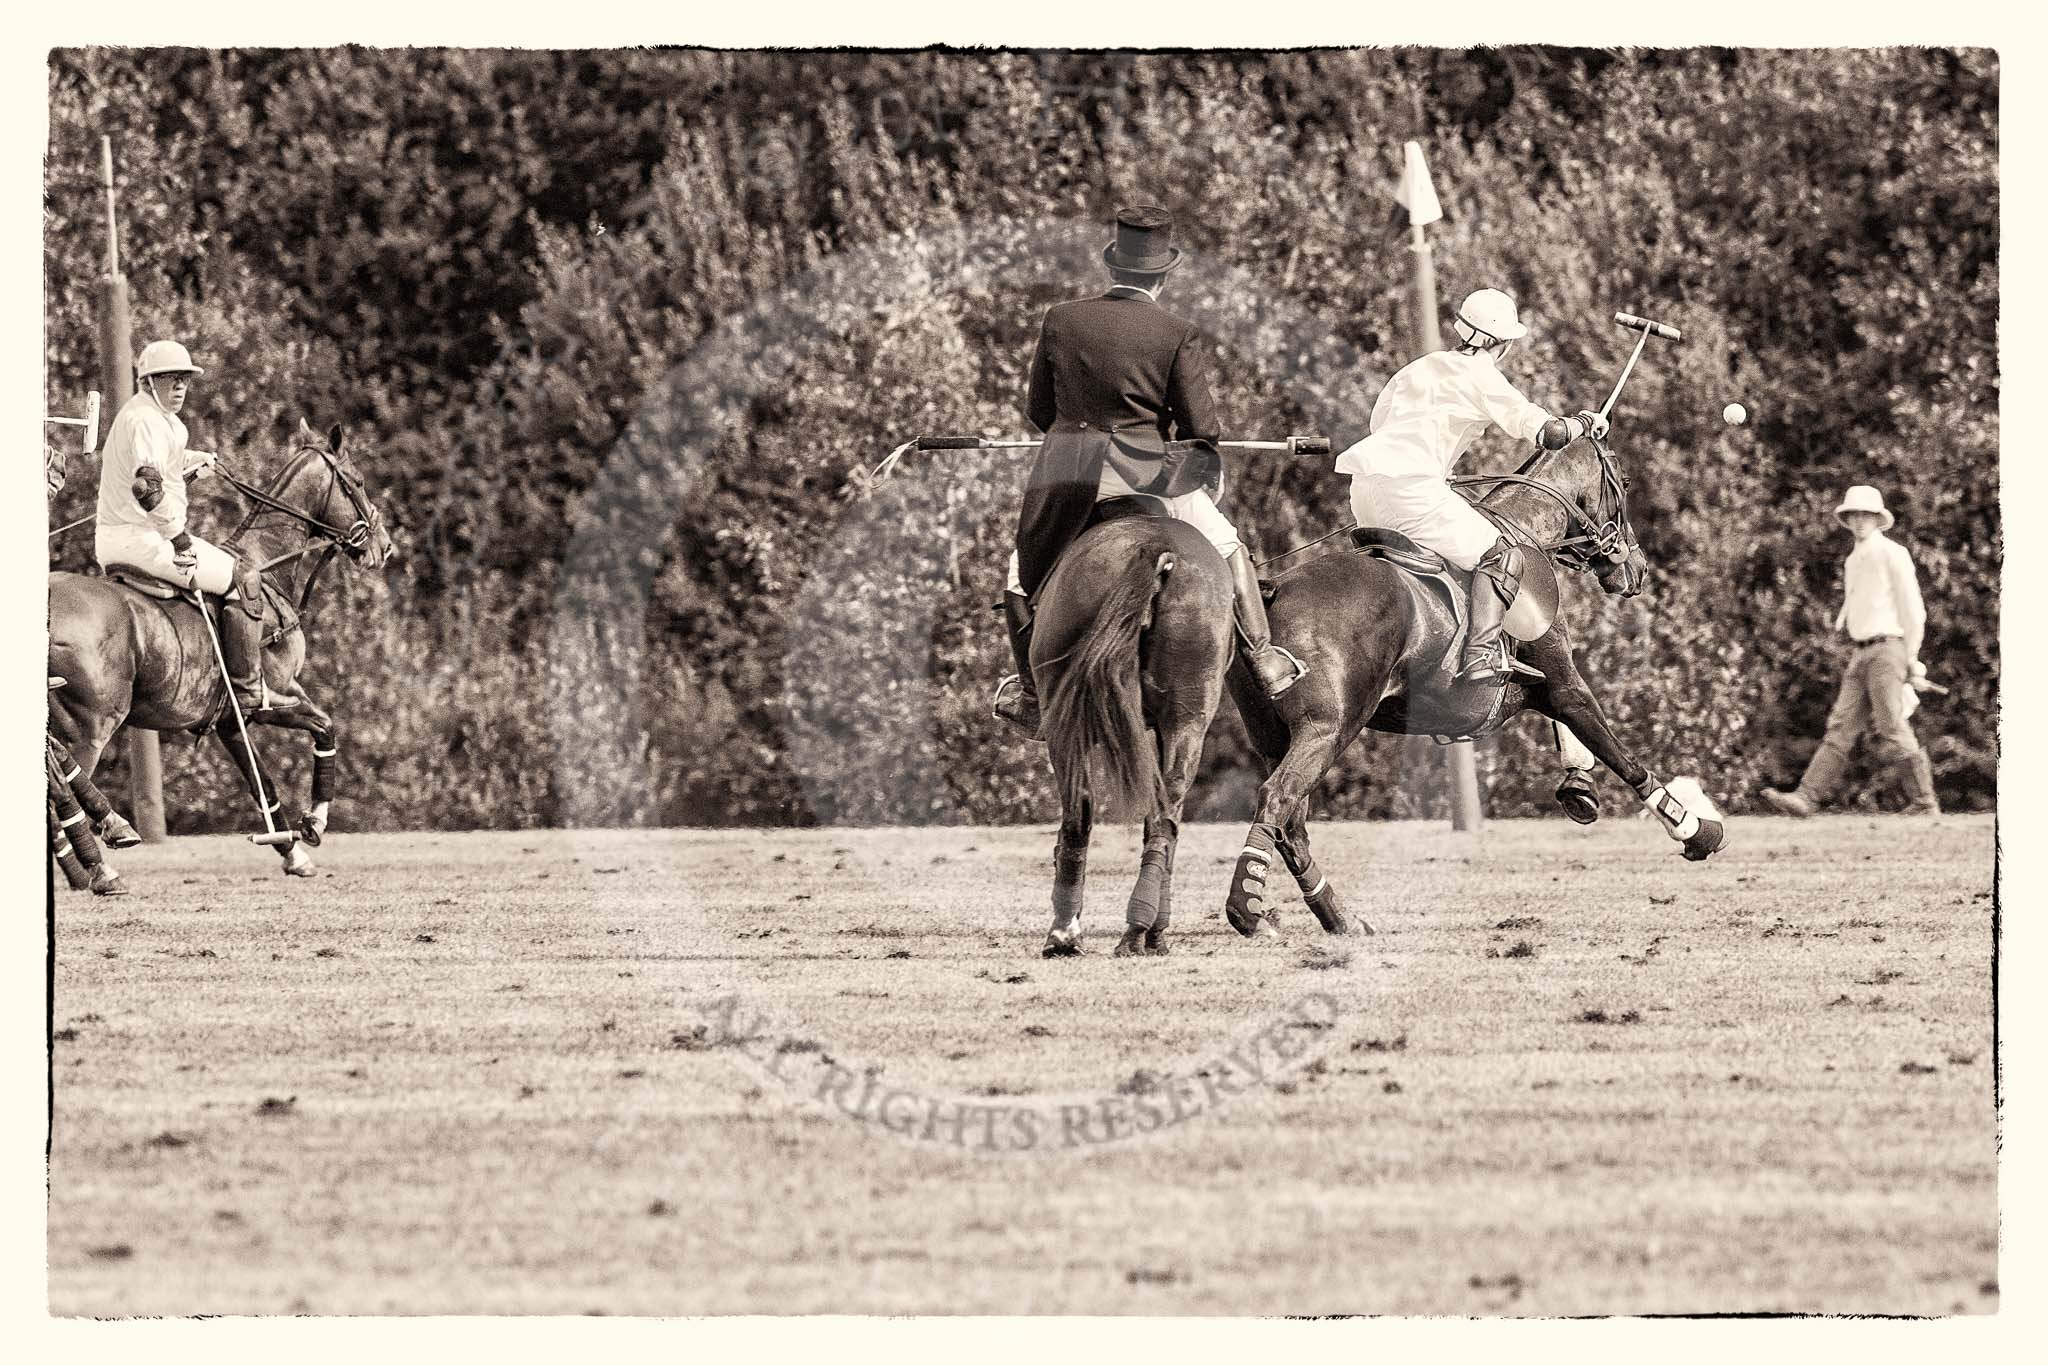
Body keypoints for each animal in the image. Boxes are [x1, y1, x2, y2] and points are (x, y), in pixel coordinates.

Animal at [48, 417, 395, 879]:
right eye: (357, 482)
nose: (384, 546)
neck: (267, 567)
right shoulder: (275, 696)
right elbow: (326, 726)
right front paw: (315, 821)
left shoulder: (231, 721)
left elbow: (264, 786)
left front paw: (293, 853)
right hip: (90, 726)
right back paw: (104, 861)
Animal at [1040, 501, 1228, 961]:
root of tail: (1157, 549)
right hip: (1186, 718)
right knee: (1166, 815)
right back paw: (1141, 929)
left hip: (1067, 721)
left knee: (1080, 809)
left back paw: (1065, 931)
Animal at [1220, 435, 1720, 941]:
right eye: (1625, 482)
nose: (1636, 568)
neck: (1528, 531)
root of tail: (1272, 589)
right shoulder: (1561, 681)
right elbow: (1620, 753)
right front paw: (1696, 830)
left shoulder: (1536, 687)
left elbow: (1577, 735)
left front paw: (1579, 786)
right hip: (1328, 728)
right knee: (1277, 798)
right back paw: (1247, 910)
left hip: (1273, 736)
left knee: (1292, 826)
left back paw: (1337, 917)